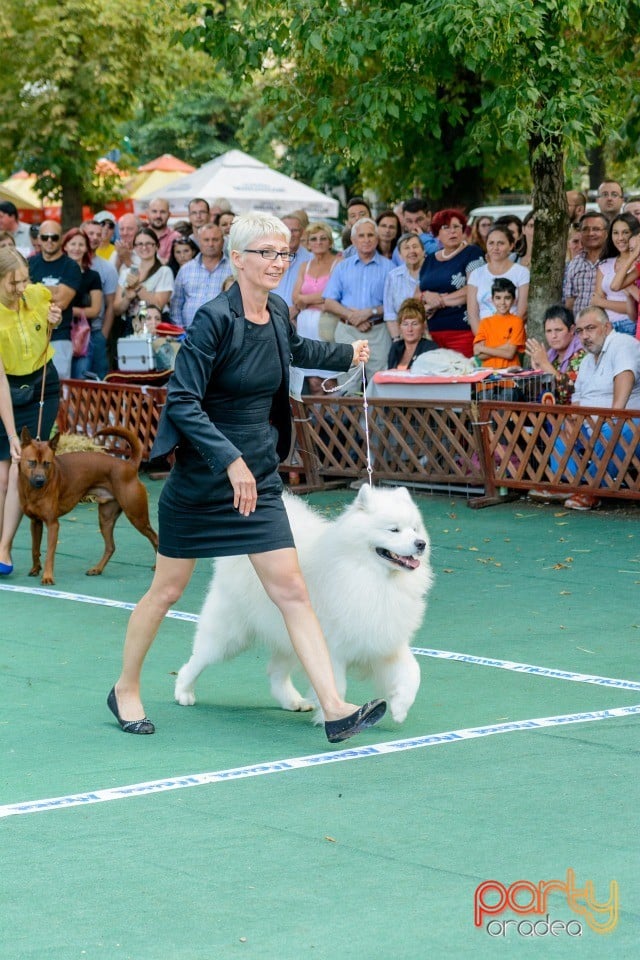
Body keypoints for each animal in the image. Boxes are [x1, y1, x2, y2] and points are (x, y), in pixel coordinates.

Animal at [18, 428, 159, 584]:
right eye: (31, 462)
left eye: (47, 463)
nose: (40, 480)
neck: (33, 490)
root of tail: (129, 465)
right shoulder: (35, 522)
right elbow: (35, 549)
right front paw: (35, 569)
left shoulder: (52, 524)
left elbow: (49, 553)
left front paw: (48, 576)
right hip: (106, 519)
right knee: (110, 547)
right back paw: (97, 569)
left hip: (137, 517)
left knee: (155, 538)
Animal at [175, 488, 436, 720]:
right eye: (394, 530)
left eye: (415, 528)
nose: (420, 543)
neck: (370, 575)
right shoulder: (332, 647)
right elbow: (335, 683)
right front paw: (336, 716)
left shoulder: (385, 638)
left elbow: (413, 671)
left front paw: (400, 707)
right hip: (230, 634)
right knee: (198, 658)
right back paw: (183, 691)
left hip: (290, 633)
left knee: (275, 672)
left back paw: (292, 701)